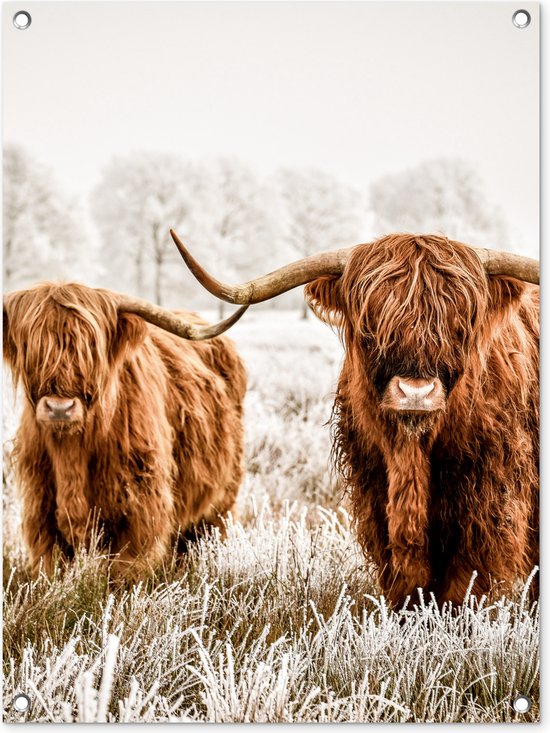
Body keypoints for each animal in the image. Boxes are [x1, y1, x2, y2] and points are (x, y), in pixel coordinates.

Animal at [3, 282, 248, 578]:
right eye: (30, 345)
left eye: (92, 348)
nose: (60, 408)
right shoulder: (40, 511)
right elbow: (51, 568)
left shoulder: (140, 510)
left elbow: (125, 572)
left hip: (223, 498)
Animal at [169, 229, 539, 607]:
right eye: (371, 325)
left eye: (461, 324)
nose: (416, 392)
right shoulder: (375, 494)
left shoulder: (486, 506)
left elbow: (462, 586)